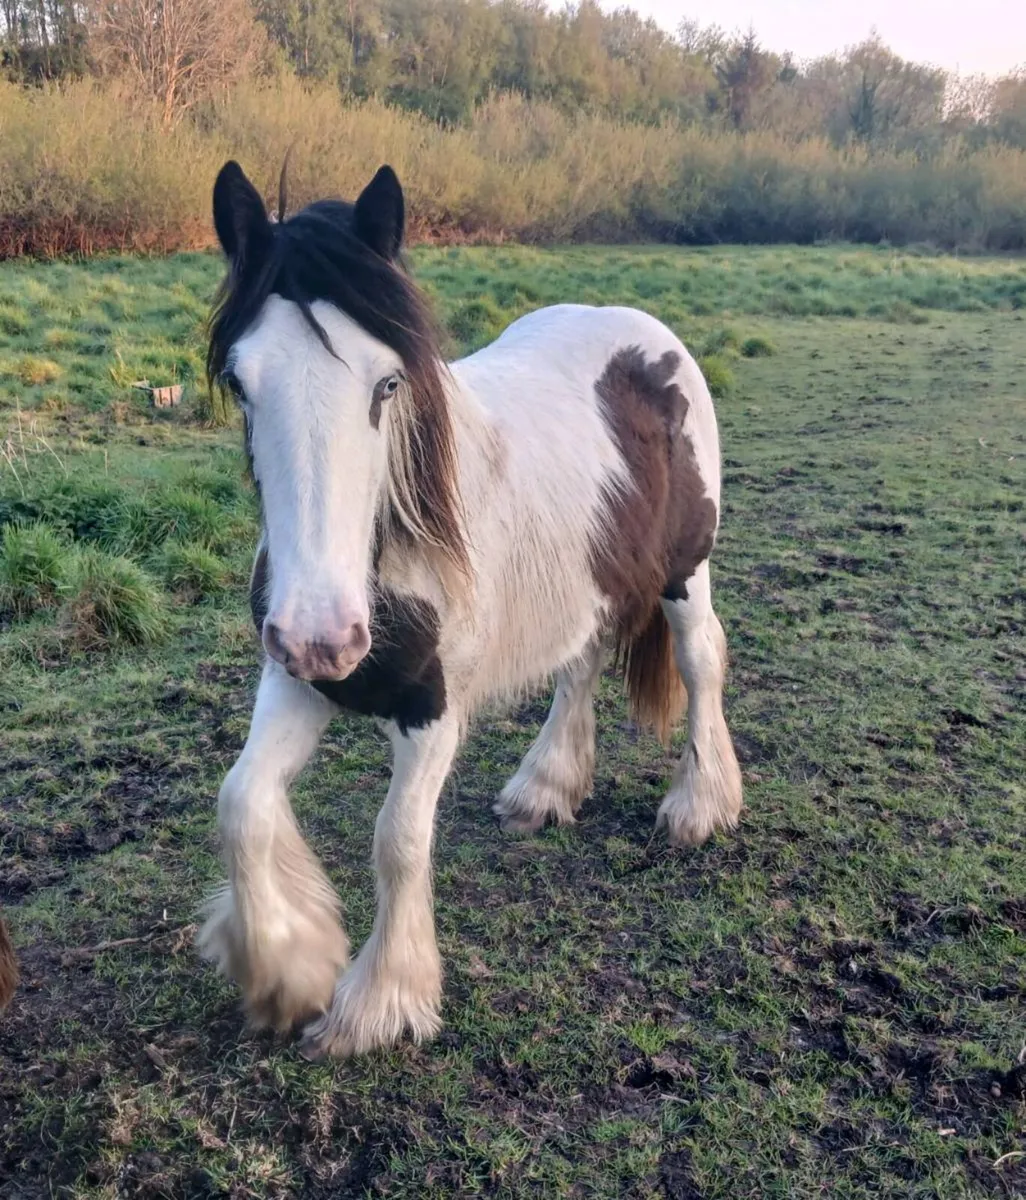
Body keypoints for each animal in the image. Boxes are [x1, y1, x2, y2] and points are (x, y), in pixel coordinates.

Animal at [197, 161, 743, 1060]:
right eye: (240, 383)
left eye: (387, 383)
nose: (323, 633)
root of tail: (640, 328)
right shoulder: (300, 678)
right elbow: (241, 804)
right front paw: (285, 971)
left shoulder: (431, 707)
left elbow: (396, 839)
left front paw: (379, 1001)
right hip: (582, 577)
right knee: (580, 664)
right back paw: (546, 786)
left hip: (684, 572)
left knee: (701, 663)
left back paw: (700, 806)